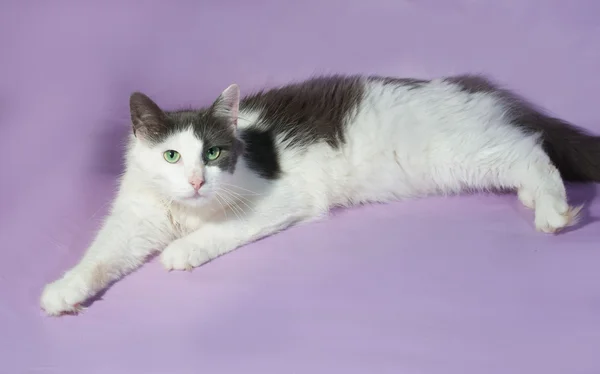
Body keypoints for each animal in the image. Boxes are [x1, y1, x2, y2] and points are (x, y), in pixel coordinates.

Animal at [41, 73, 600, 316]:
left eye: (215, 153)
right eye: (172, 156)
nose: (198, 181)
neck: (187, 208)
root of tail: (473, 87)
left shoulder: (279, 199)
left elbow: (220, 231)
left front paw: (181, 251)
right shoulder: (134, 219)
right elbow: (100, 255)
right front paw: (65, 290)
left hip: (458, 153)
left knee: (531, 149)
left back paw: (552, 210)